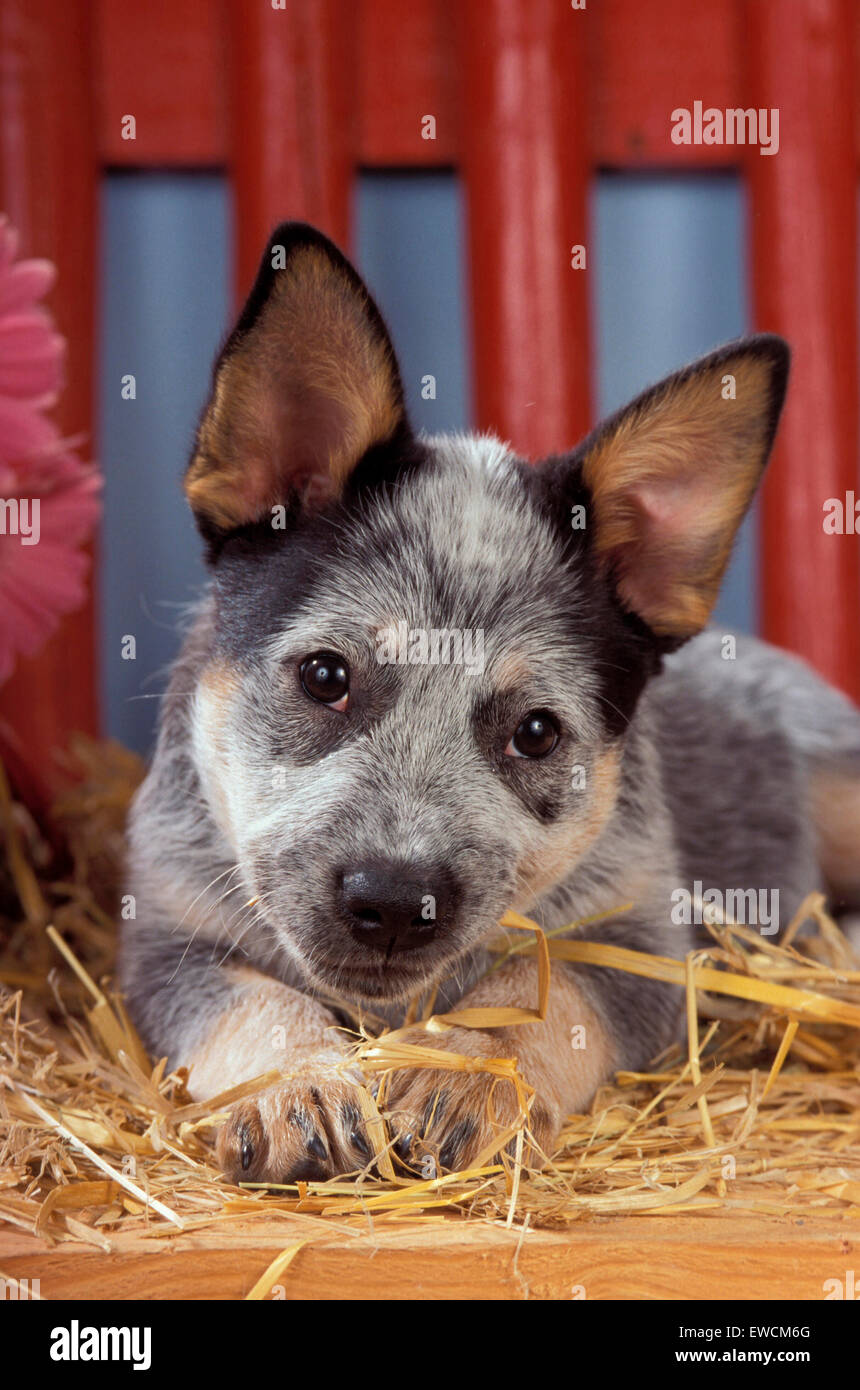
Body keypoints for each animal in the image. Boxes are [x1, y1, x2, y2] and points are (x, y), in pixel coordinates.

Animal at [119, 225, 860, 1184]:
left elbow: (545, 993)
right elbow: (252, 1001)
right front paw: (300, 1087)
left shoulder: (640, 943)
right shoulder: (163, 939)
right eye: (324, 677)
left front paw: (462, 1075)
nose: (394, 902)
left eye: (535, 733)